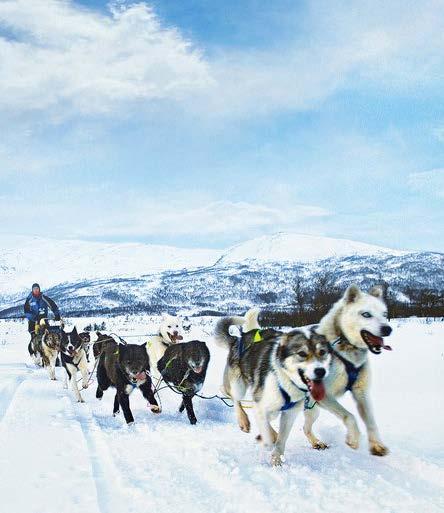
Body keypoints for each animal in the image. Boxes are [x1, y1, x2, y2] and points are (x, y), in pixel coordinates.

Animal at [215, 314, 330, 466]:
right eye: (301, 353)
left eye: (322, 352)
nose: (321, 371)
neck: (286, 380)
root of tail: (239, 338)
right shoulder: (261, 405)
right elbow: (268, 437)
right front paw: (268, 442)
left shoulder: (289, 413)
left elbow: (281, 439)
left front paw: (276, 459)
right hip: (239, 386)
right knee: (233, 397)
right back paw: (243, 420)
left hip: (313, 409)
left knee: (303, 427)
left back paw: (315, 442)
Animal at [304, 284, 394, 456]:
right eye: (366, 314)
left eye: (385, 314)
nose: (388, 329)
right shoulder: (324, 395)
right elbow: (349, 416)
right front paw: (353, 438)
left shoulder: (361, 392)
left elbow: (371, 420)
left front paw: (377, 444)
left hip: (312, 409)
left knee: (305, 428)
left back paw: (317, 443)